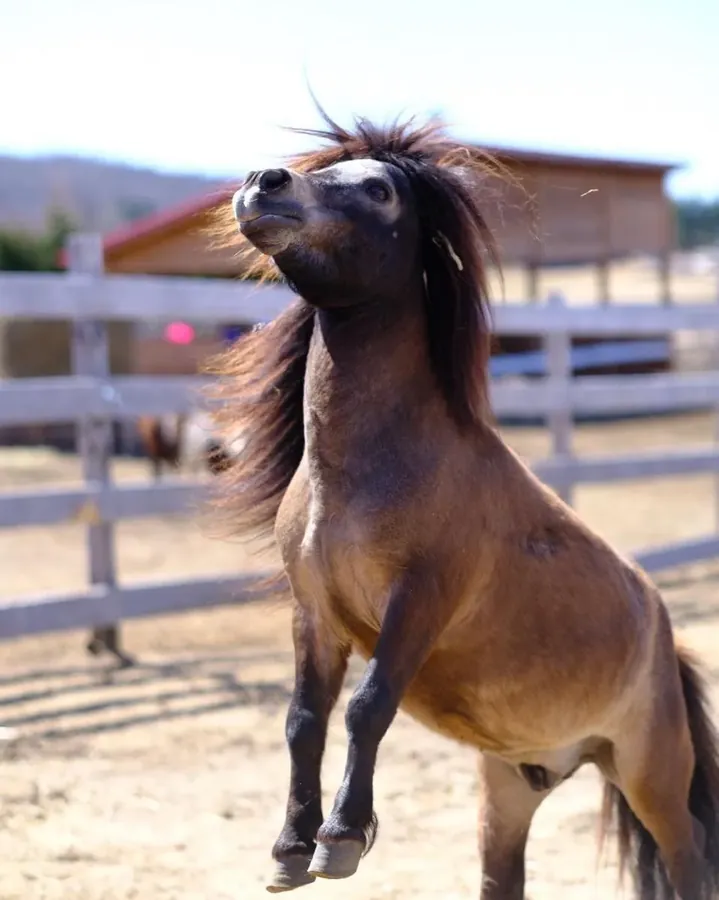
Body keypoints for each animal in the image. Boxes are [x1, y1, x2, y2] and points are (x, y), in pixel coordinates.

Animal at [208, 107, 719, 900]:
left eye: (379, 189)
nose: (264, 184)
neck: (357, 479)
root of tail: (667, 637)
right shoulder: (313, 612)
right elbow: (303, 719)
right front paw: (290, 848)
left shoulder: (421, 598)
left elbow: (367, 706)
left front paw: (340, 839)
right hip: (509, 790)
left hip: (649, 772)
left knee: (687, 851)